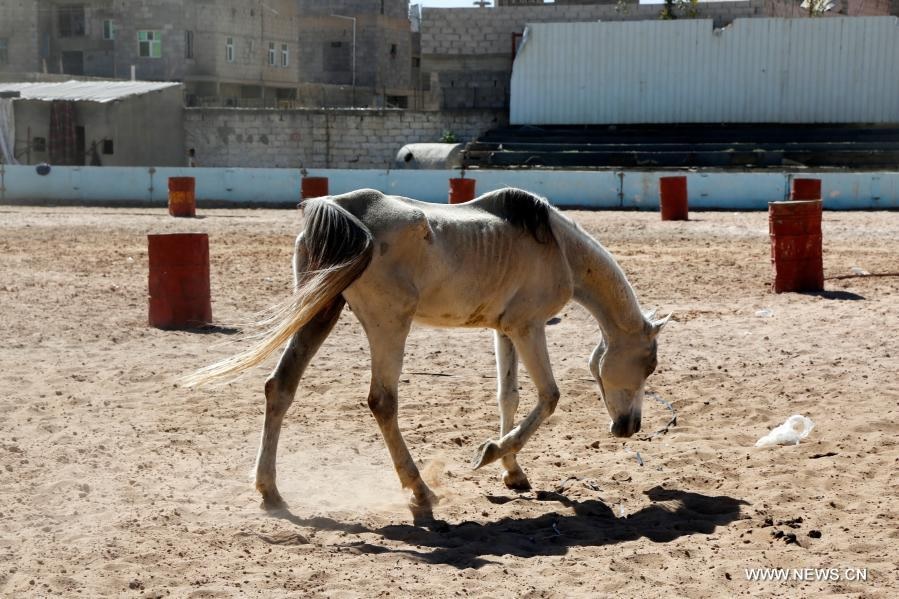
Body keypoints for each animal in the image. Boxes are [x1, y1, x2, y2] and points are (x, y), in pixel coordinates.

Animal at [188, 188, 668, 520]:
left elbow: (508, 397)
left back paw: (270, 491)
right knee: (382, 402)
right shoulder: (528, 328)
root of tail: (342, 208)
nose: (630, 427)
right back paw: (420, 491)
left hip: (320, 312)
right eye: (649, 363)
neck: (556, 246)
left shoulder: (505, 330)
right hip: (388, 325)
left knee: (280, 387)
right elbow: (549, 397)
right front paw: (491, 453)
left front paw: (513, 472)